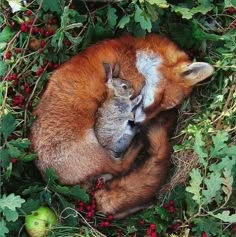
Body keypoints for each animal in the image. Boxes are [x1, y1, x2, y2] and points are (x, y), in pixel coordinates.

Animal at [30, 34, 214, 218]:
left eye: (164, 107)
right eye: (161, 100)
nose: (140, 123)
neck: (137, 55)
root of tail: (52, 181)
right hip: (96, 150)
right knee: (120, 167)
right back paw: (138, 141)